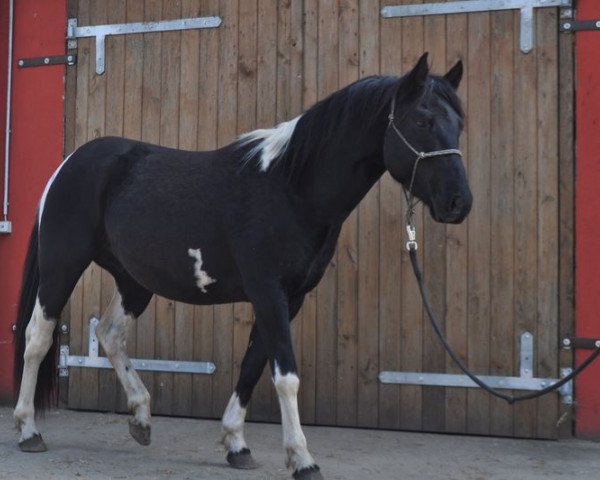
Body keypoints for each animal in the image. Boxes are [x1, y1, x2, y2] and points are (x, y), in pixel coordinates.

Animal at [14, 52, 472, 480]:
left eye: (459, 125)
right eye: (422, 121)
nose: (459, 203)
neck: (291, 188)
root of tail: (69, 164)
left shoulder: (291, 296)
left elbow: (254, 364)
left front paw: (237, 445)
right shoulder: (268, 291)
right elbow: (285, 374)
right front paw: (302, 459)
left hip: (133, 282)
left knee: (109, 334)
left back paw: (141, 419)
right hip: (62, 267)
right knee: (38, 337)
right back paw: (28, 430)